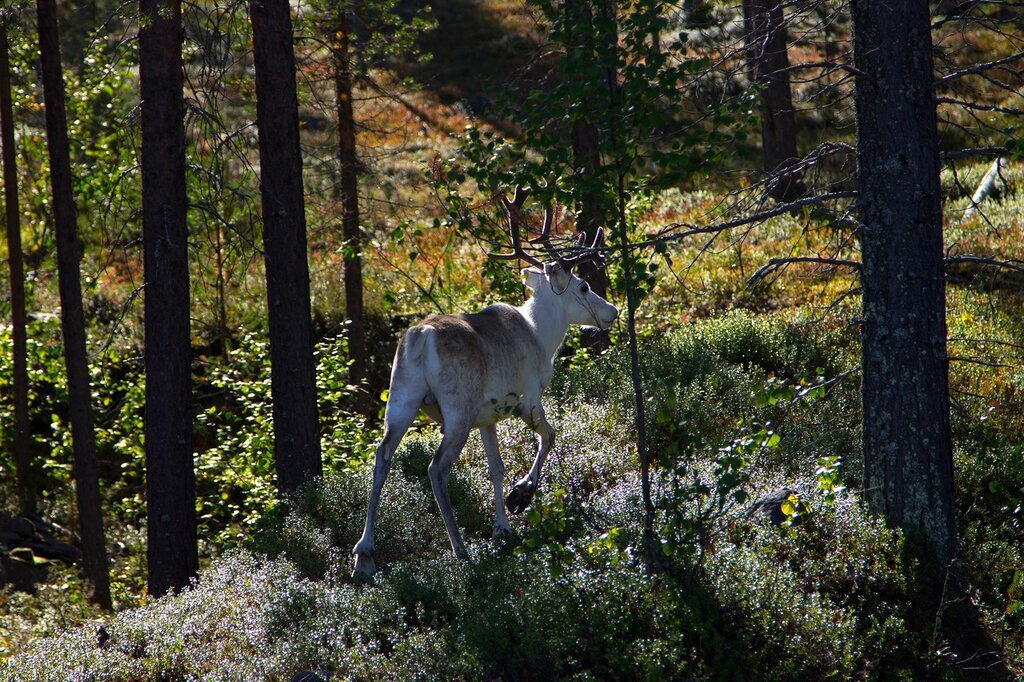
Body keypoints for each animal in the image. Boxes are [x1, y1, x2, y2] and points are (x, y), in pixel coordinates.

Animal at [352, 187, 618, 577]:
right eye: (583, 286)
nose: (612, 312)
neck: (542, 336)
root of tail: (420, 339)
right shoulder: (528, 397)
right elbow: (550, 436)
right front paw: (521, 495)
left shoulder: (487, 418)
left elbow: (496, 468)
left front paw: (501, 528)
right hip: (457, 408)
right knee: (437, 468)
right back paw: (460, 549)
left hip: (401, 398)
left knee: (382, 455)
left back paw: (364, 554)